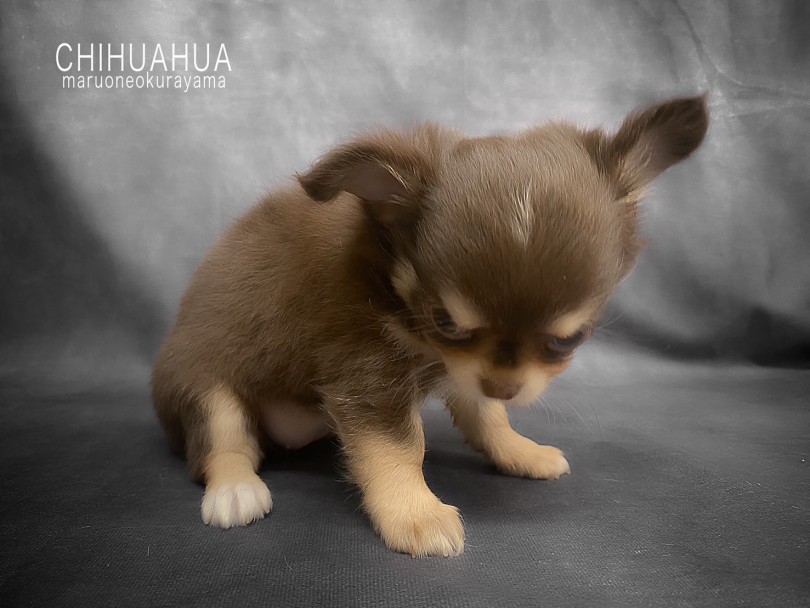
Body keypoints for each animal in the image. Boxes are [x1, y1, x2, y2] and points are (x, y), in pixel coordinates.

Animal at [152, 95, 708, 556]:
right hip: (204, 385)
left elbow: (488, 417)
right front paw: (416, 514)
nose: (504, 387)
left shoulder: (467, 371)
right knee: (223, 442)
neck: (388, 275)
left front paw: (519, 452)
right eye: (445, 321)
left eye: (567, 339)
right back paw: (235, 489)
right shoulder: (369, 379)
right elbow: (398, 448)